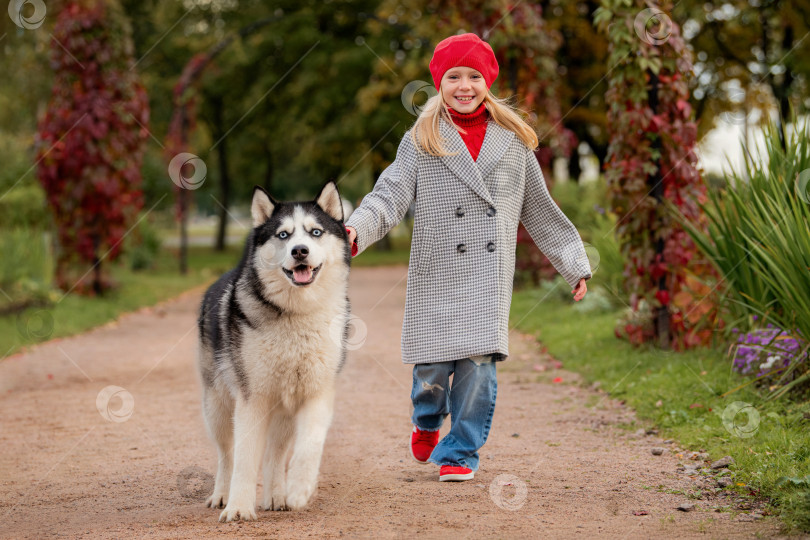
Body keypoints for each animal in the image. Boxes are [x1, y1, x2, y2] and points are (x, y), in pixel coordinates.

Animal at [197, 182, 348, 524]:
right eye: (283, 234)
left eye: (315, 232)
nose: (300, 251)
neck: (296, 314)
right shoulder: (252, 399)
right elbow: (243, 459)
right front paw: (238, 507)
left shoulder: (317, 392)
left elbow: (309, 447)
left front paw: (299, 489)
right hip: (218, 406)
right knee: (226, 454)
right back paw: (222, 494)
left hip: (283, 412)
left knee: (275, 454)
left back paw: (277, 494)